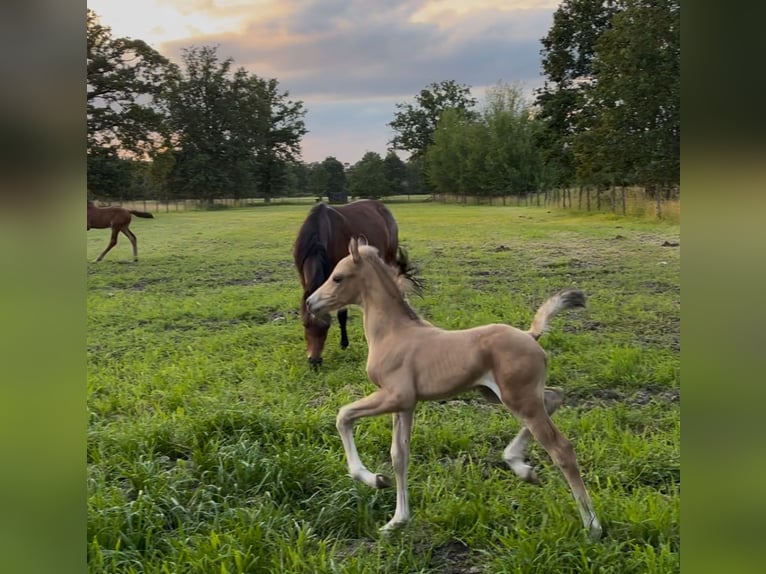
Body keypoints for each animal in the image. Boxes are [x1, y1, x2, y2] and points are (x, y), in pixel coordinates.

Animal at [293, 199, 399, 367]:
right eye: (305, 324)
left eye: (327, 326)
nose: (314, 361)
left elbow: (342, 313)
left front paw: (344, 343)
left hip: (390, 256)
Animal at [306, 237, 602, 538]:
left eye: (338, 277)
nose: (310, 302)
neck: (393, 333)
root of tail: (531, 335)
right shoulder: (405, 405)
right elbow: (399, 456)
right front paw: (396, 520)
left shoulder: (394, 396)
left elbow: (343, 415)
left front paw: (374, 480)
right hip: (504, 395)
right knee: (555, 396)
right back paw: (521, 467)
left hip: (519, 399)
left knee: (561, 449)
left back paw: (592, 526)